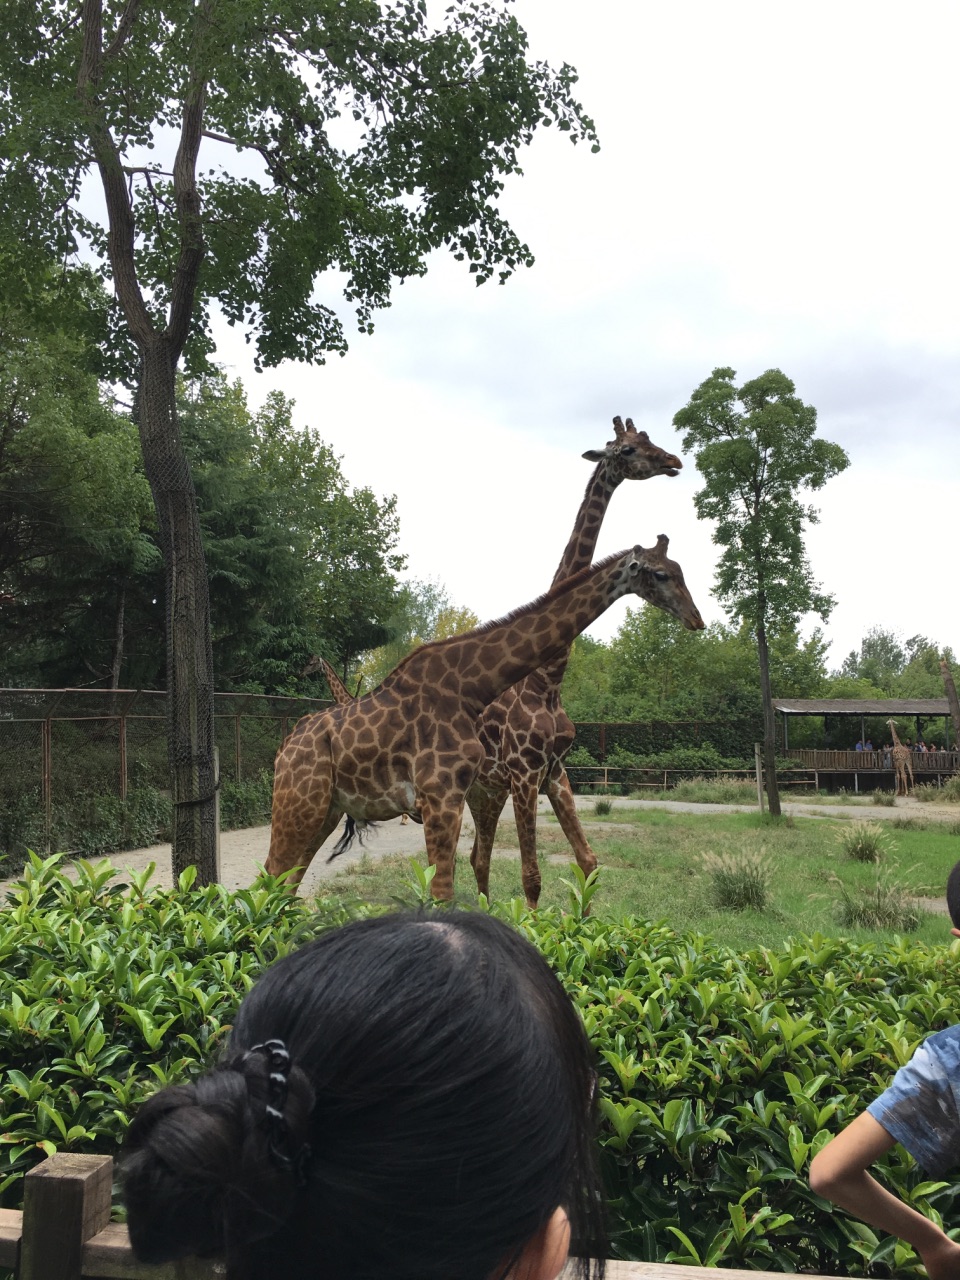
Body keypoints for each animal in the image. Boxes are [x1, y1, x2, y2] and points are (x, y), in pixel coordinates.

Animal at [264, 540, 706, 901]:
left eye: (681, 569)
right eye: (662, 574)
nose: (697, 620)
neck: (470, 690)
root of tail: (284, 748)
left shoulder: (456, 797)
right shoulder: (441, 797)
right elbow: (443, 893)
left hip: (326, 809)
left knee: (286, 880)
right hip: (298, 803)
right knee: (273, 873)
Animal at [465, 414, 686, 906]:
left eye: (648, 439)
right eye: (626, 450)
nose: (674, 461)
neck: (547, 680)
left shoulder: (554, 772)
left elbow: (588, 860)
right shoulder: (525, 774)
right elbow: (531, 876)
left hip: (486, 791)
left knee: (476, 857)